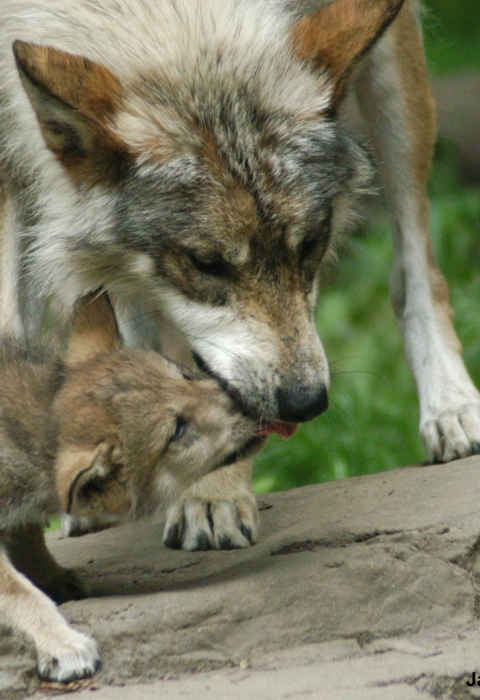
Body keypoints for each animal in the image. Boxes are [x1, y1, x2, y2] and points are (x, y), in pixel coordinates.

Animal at [0, 291, 264, 681]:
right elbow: (19, 592)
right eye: (178, 431)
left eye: (187, 374)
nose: (254, 403)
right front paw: (63, 644)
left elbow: (26, 541)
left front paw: (55, 581)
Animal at [1, 0, 479, 552]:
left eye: (311, 244)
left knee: (413, 262)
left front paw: (211, 493)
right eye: (206, 263)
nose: (306, 402)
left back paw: (452, 407)